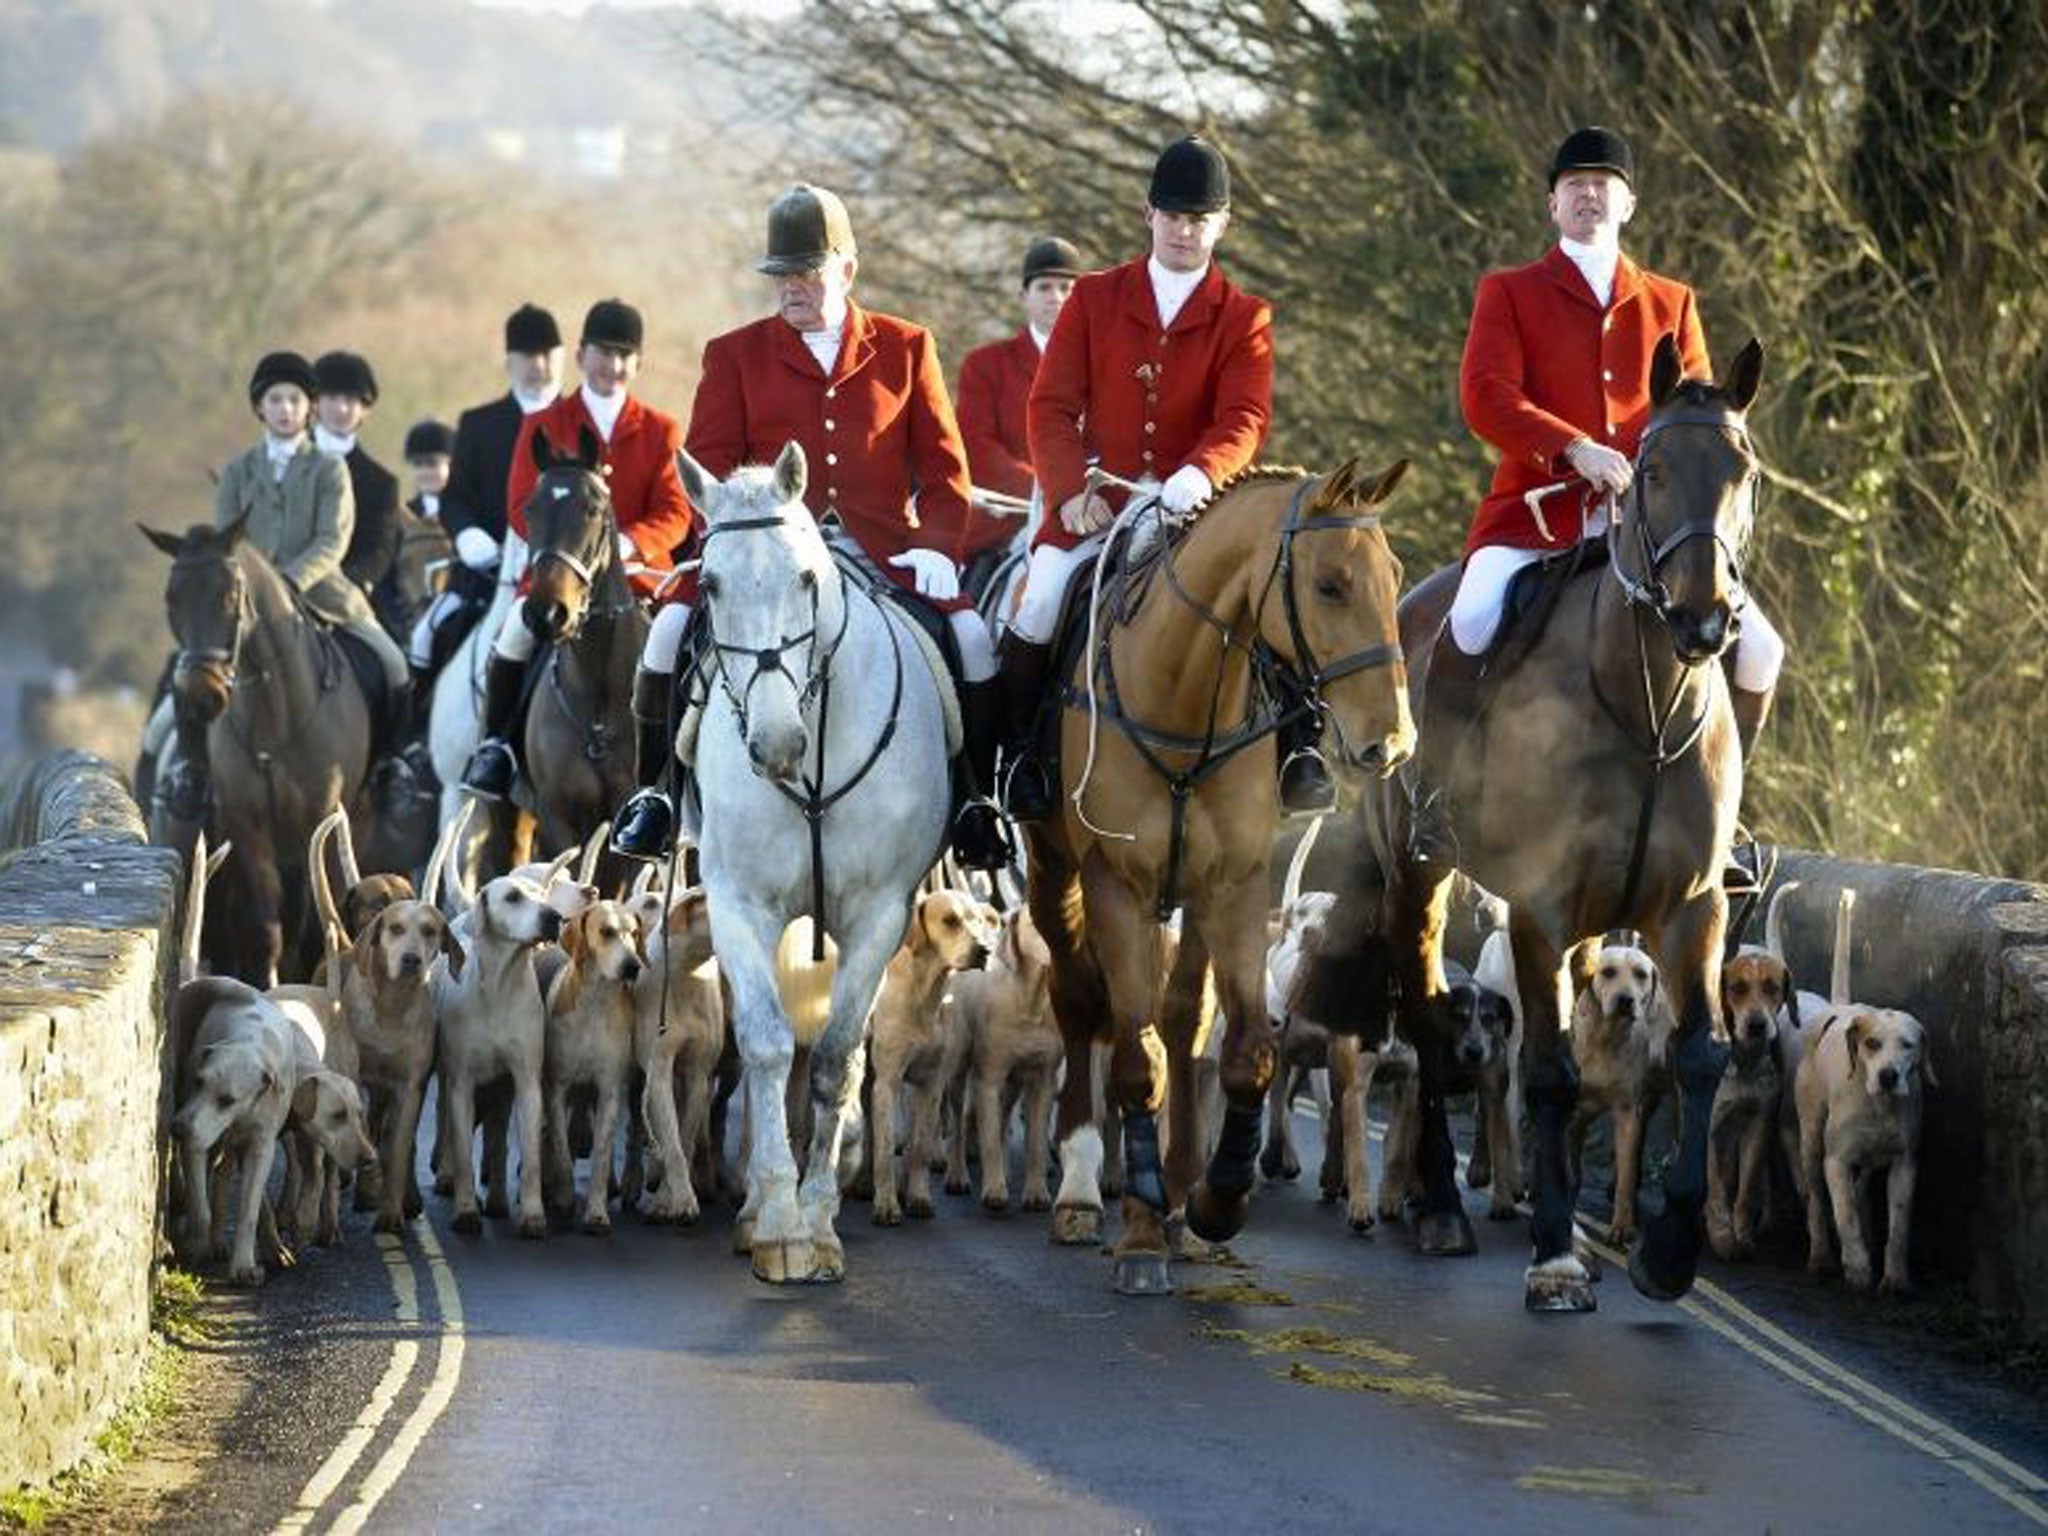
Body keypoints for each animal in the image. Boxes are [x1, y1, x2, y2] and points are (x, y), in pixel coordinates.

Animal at [141, 520, 376, 987]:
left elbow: (311, 922)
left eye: (231, 594)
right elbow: (264, 930)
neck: (275, 722)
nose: (201, 695)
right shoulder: (246, 827)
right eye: (171, 598)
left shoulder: (319, 819)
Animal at [679, 442, 950, 1286]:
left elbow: (834, 1056)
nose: (776, 746)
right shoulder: (738, 902)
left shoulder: (882, 914)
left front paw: (819, 1218)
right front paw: (775, 1219)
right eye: (710, 584)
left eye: (805, 577)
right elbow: (767, 1043)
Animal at [1024, 460, 1425, 1302]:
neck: (1184, 699)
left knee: (1182, 1018)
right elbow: (1133, 1058)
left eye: (1397, 575)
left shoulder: (1233, 886)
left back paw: (1178, 1194)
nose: (1393, 741)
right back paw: (1083, 1188)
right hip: (1055, 870)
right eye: (1331, 585)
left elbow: (1244, 1053)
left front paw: (1215, 1199)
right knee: (1082, 1003)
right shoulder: (1117, 886)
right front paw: (1140, 1232)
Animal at [1302, 333, 1769, 1310]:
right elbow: (1549, 1074)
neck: (1647, 708)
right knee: (1428, 1017)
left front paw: (1669, 1250)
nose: (1703, 618)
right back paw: (1440, 1205)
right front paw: (1555, 1253)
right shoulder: (1539, 909)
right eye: (1650, 470)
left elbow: (1700, 1056)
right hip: (1417, 876)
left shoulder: (1695, 908)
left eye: (1744, 470)